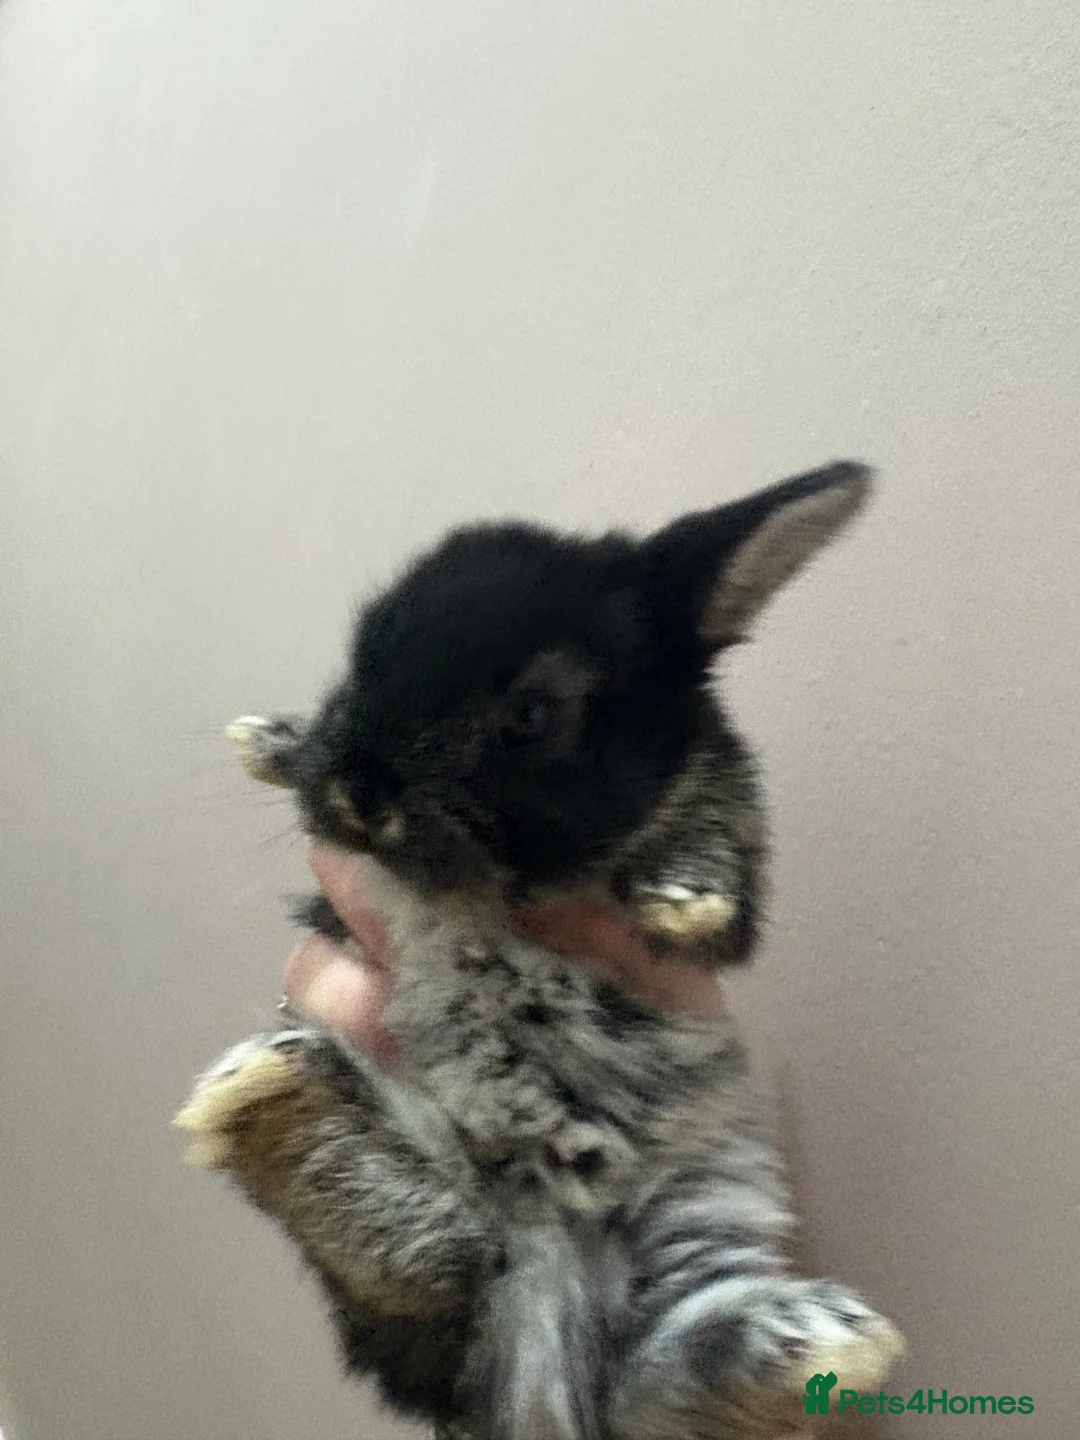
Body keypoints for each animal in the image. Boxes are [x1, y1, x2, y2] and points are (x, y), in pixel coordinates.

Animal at [176, 459, 903, 1440]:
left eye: (531, 713)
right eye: (360, 662)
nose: (358, 789)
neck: (496, 890)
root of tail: (547, 1252)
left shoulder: (720, 827)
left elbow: (722, 823)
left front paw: (683, 895)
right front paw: (271, 739)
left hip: (695, 1200)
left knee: (630, 1368)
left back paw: (808, 1342)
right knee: (441, 1275)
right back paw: (275, 1099)